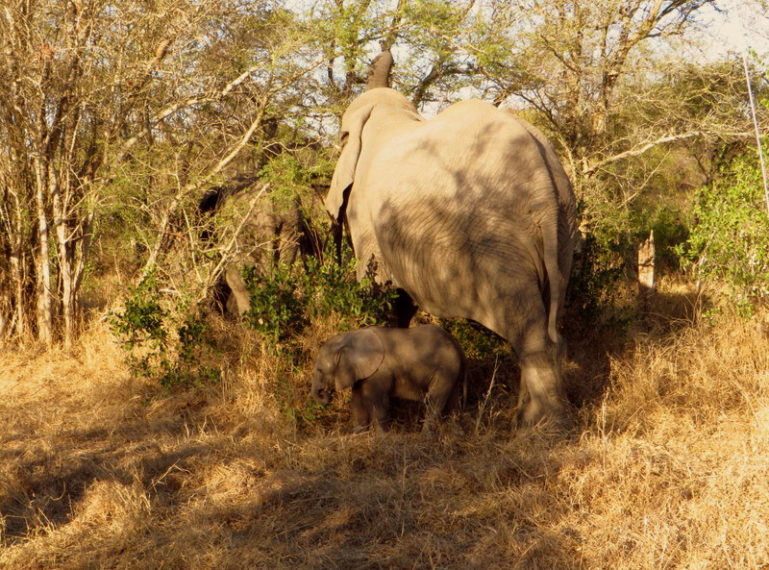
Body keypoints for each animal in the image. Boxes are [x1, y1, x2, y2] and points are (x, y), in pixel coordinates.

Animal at [310, 324, 464, 430]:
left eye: (320, 370)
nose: (325, 394)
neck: (350, 339)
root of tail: (456, 343)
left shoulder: (380, 371)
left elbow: (377, 401)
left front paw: (383, 439)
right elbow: (357, 402)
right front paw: (358, 435)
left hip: (445, 370)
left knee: (434, 402)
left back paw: (425, 437)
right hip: (452, 371)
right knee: (454, 402)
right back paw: (457, 435)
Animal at [324, 53, 576, 428]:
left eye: (340, 138)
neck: (388, 116)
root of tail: (544, 179)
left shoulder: (367, 219)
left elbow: (380, 294)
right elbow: (399, 303)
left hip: (497, 240)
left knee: (529, 328)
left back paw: (542, 429)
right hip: (562, 230)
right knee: (551, 317)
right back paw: (529, 421)